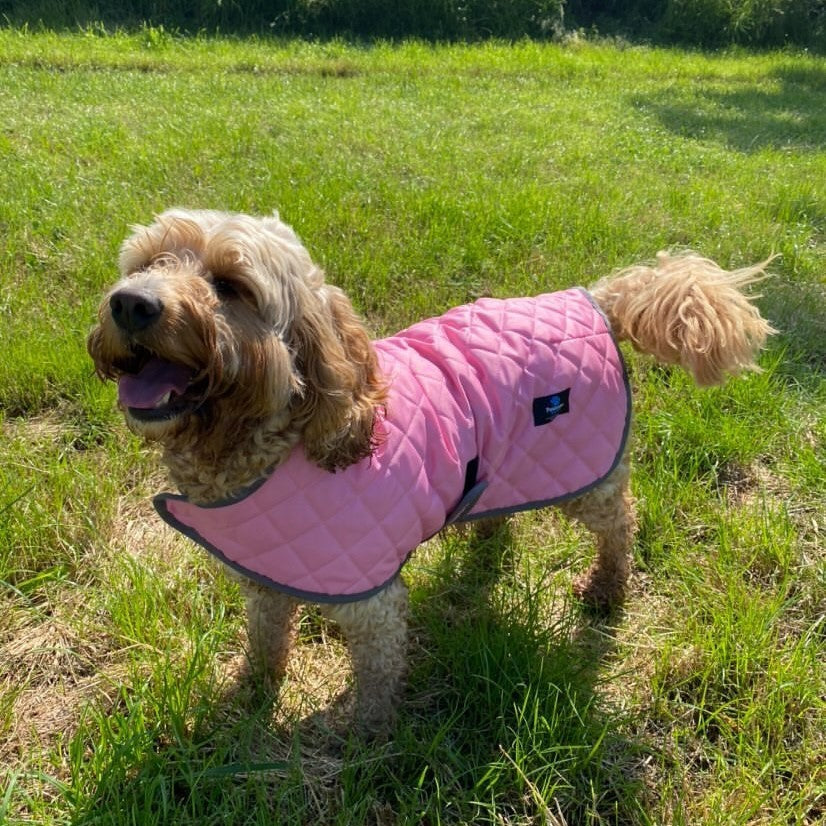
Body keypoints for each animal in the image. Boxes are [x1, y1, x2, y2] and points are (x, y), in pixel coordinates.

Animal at [88, 209, 772, 732]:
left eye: (231, 286)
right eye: (144, 265)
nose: (130, 304)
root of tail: (592, 298)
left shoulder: (371, 601)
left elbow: (376, 672)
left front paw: (367, 735)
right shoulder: (265, 577)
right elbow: (264, 641)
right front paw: (251, 696)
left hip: (585, 475)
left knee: (620, 523)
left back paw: (607, 589)